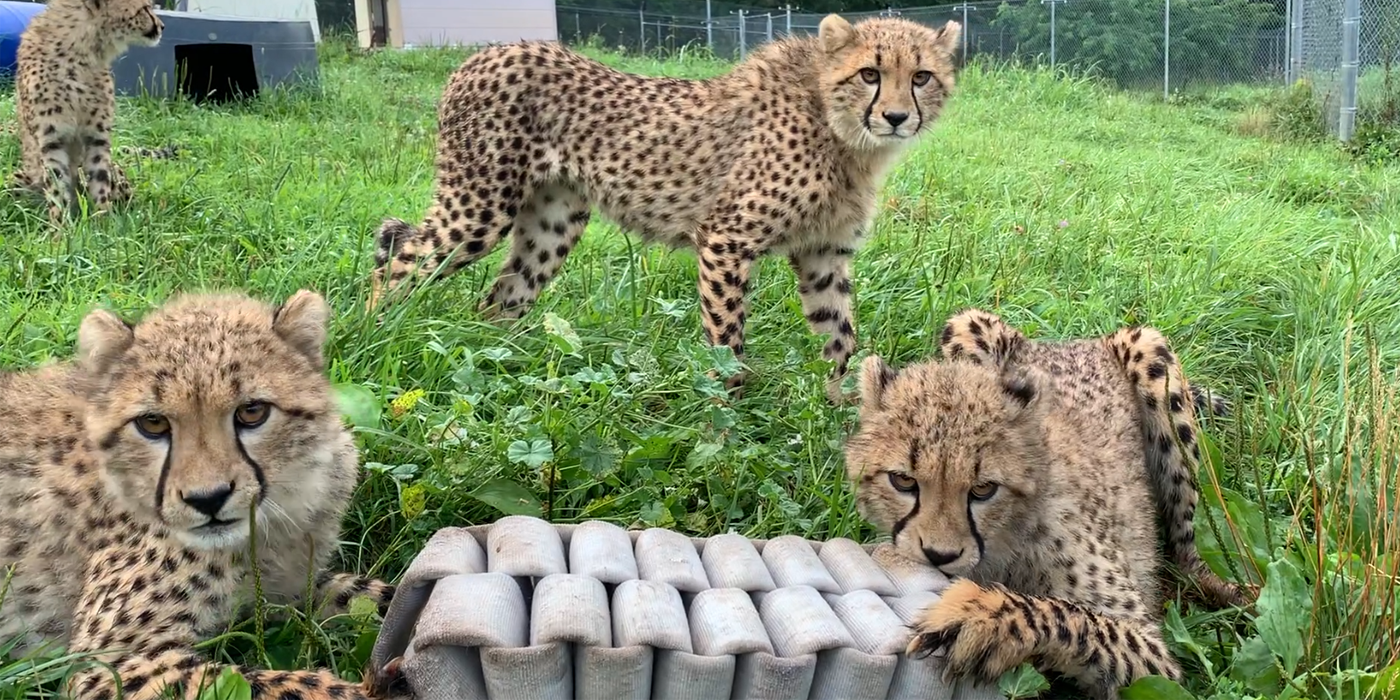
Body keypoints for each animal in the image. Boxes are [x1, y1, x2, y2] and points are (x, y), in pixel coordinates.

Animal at [0, 289, 406, 700]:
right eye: (152, 423)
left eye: (252, 411)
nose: (207, 499)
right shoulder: (105, 664)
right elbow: (276, 685)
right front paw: (378, 687)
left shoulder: (291, 589)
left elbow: (373, 595)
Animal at [8, 0, 162, 222]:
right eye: (145, 8)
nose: (161, 26)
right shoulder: (51, 141)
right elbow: (57, 189)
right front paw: (60, 228)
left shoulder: (96, 138)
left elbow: (100, 182)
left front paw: (103, 223)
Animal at [369, 13, 963, 403]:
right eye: (870, 74)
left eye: (921, 77)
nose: (895, 117)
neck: (842, 131)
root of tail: (481, 53)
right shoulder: (726, 238)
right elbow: (726, 339)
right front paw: (728, 419)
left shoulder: (824, 254)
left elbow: (840, 336)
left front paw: (839, 413)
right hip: (480, 207)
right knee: (400, 254)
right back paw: (371, 337)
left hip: (552, 223)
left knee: (497, 298)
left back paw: (501, 370)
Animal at [840, 309, 1248, 697]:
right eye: (903, 481)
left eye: (984, 489)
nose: (940, 555)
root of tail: (1071, 342)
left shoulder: (1156, 663)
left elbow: (1074, 617)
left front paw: (982, 619)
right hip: (966, 324)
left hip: (1153, 358)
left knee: (1189, 551)